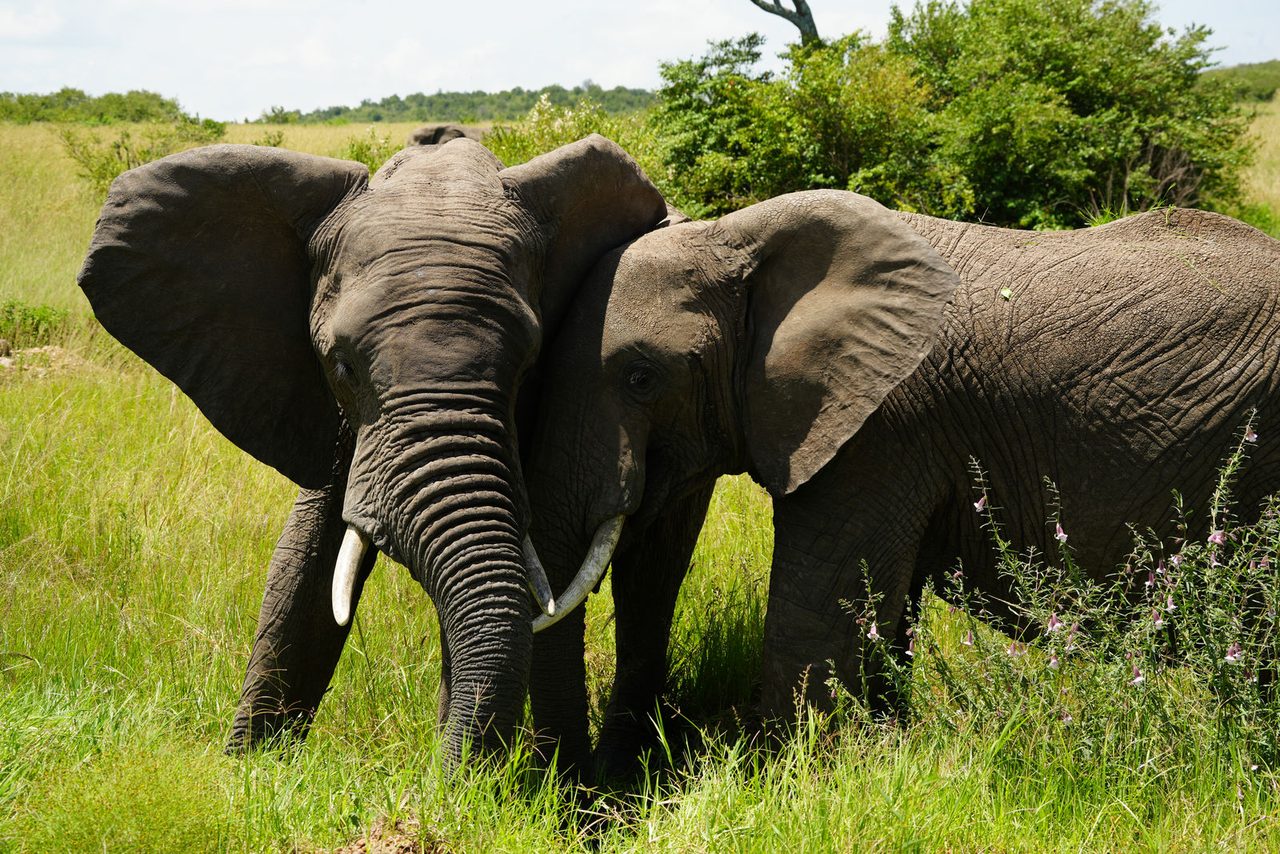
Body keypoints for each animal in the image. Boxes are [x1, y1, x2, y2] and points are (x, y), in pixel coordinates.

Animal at [520, 189, 1280, 776]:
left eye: (641, 377)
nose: (586, 796)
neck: (735, 233)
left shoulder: (884, 425)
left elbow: (817, 622)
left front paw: (793, 788)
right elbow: (884, 622)